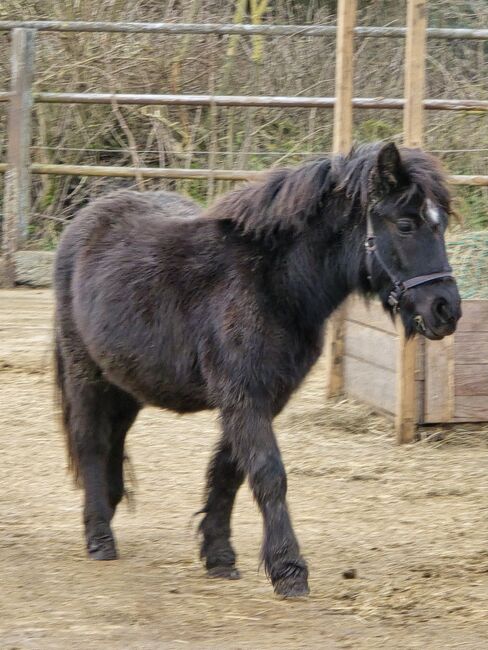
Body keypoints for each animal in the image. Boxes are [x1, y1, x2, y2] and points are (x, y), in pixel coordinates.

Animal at [54, 143, 462, 596]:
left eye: (441, 223)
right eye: (406, 224)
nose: (446, 309)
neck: (272, 283)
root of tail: (85, 222)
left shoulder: (264, 397)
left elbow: (229, 470)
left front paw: (219, 556)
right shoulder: (244, 396)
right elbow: (268, 473)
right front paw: (288, 569)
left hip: (125, 381)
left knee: (114, 437)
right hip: (85, 373)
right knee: (91, 440)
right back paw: (99, 537)